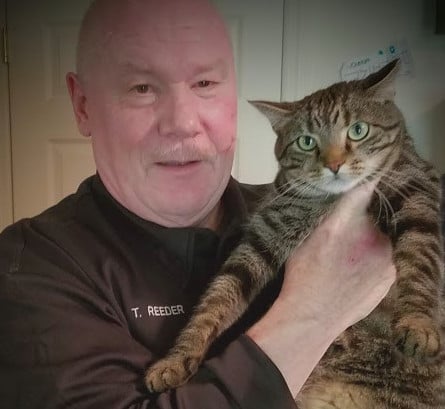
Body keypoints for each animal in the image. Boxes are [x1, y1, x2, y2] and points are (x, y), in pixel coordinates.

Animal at [144, 59, 442, 406]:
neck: (330, 202)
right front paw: (176, 358)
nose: (334, 165)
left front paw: (418, 324)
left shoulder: (416, 193)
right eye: (306, 142)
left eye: (358, 130)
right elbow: (216, 298)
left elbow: (419, 259)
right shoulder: (265, 235)